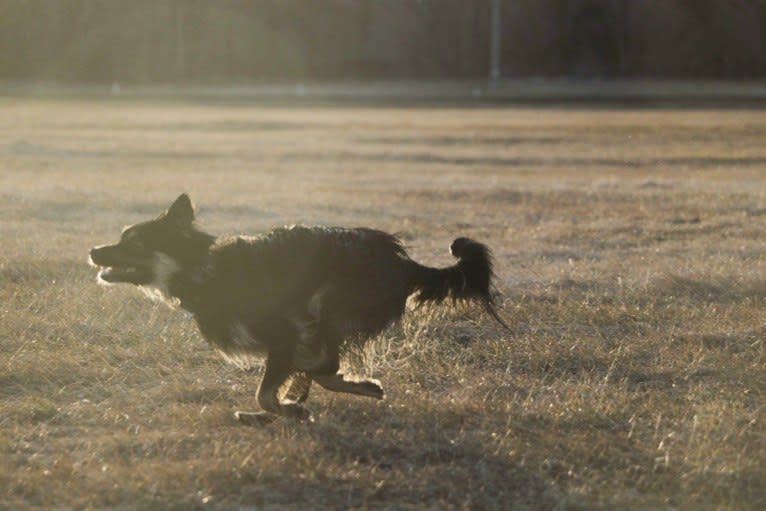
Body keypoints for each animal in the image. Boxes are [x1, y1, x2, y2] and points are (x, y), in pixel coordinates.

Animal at [90, 194, 508, 422]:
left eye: (133, 242)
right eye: (122, 237)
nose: (93, 250)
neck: (203, 269)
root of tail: (404, 263)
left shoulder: (285, 335)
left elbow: (266, 390)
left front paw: (288, 409)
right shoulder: (290, 342)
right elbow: (283, 383)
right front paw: (288, 406)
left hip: (331, 306)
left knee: (324, 366)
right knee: (320, 369)